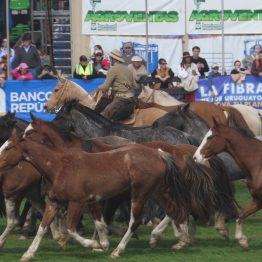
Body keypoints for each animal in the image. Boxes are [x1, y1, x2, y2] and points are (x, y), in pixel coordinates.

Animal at [192, 117, 262, 249]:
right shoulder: (257, 200)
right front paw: (242, 240)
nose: (196, 157)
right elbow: (240, 216)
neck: (258, 164)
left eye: (210, 137)